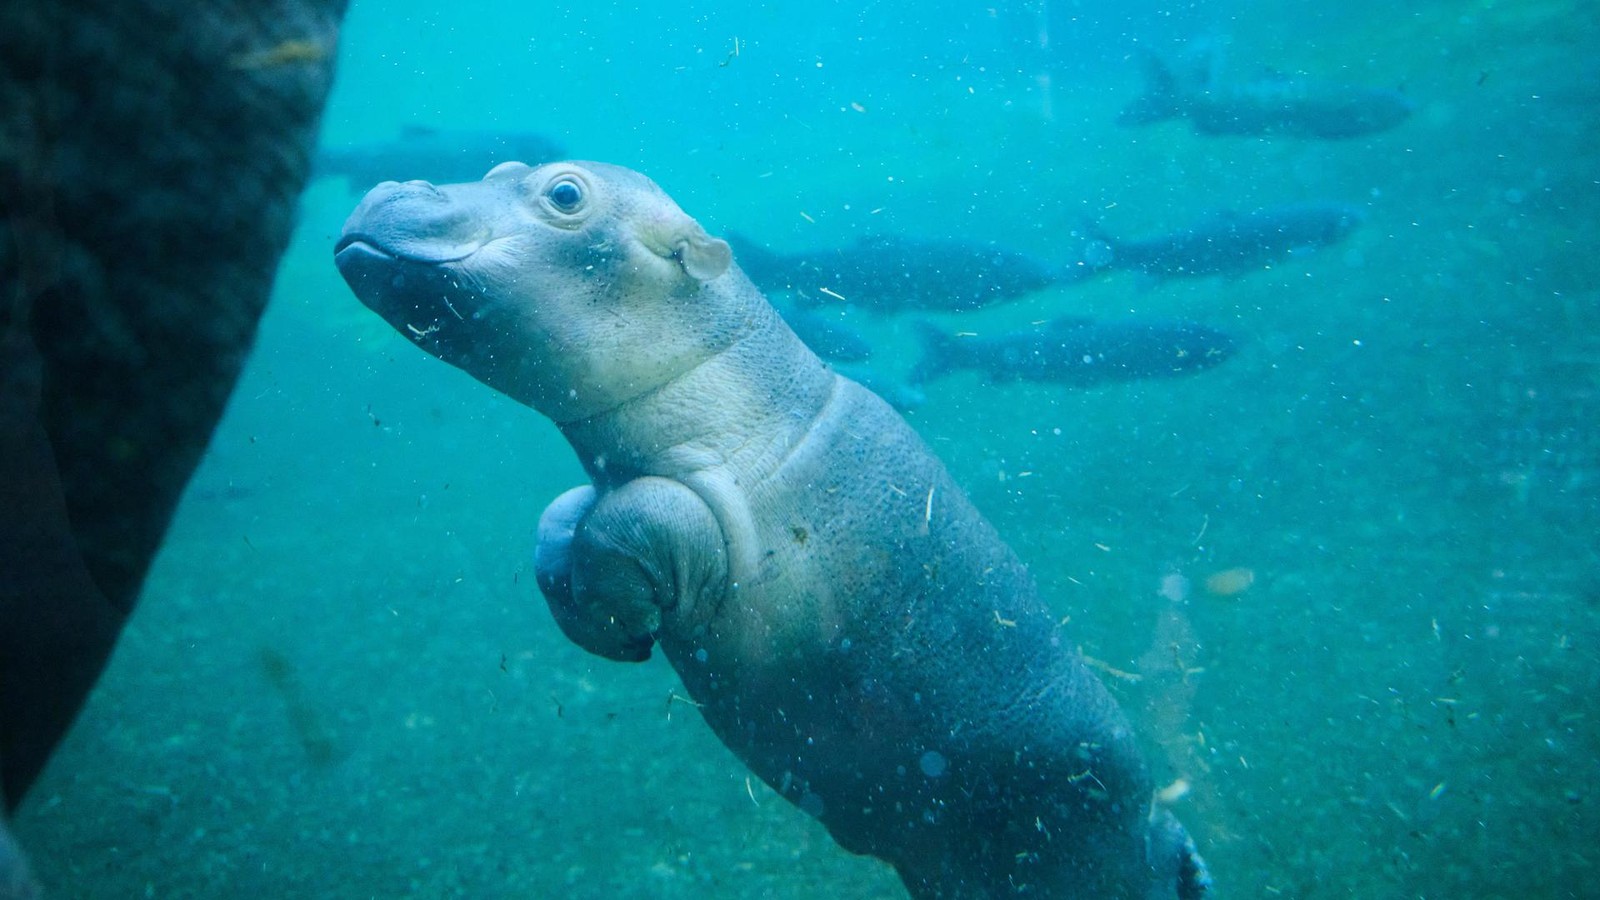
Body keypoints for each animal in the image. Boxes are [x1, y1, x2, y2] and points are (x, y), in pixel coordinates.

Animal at [334, 161, 1210, 899]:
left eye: (565, 193)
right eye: (497, 167)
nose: (390, 185)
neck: (737, 382)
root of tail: (1162, 836)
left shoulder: (719, 513)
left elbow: (642, 512)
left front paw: (625, 618)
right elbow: (559, 516)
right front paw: (599, 622)